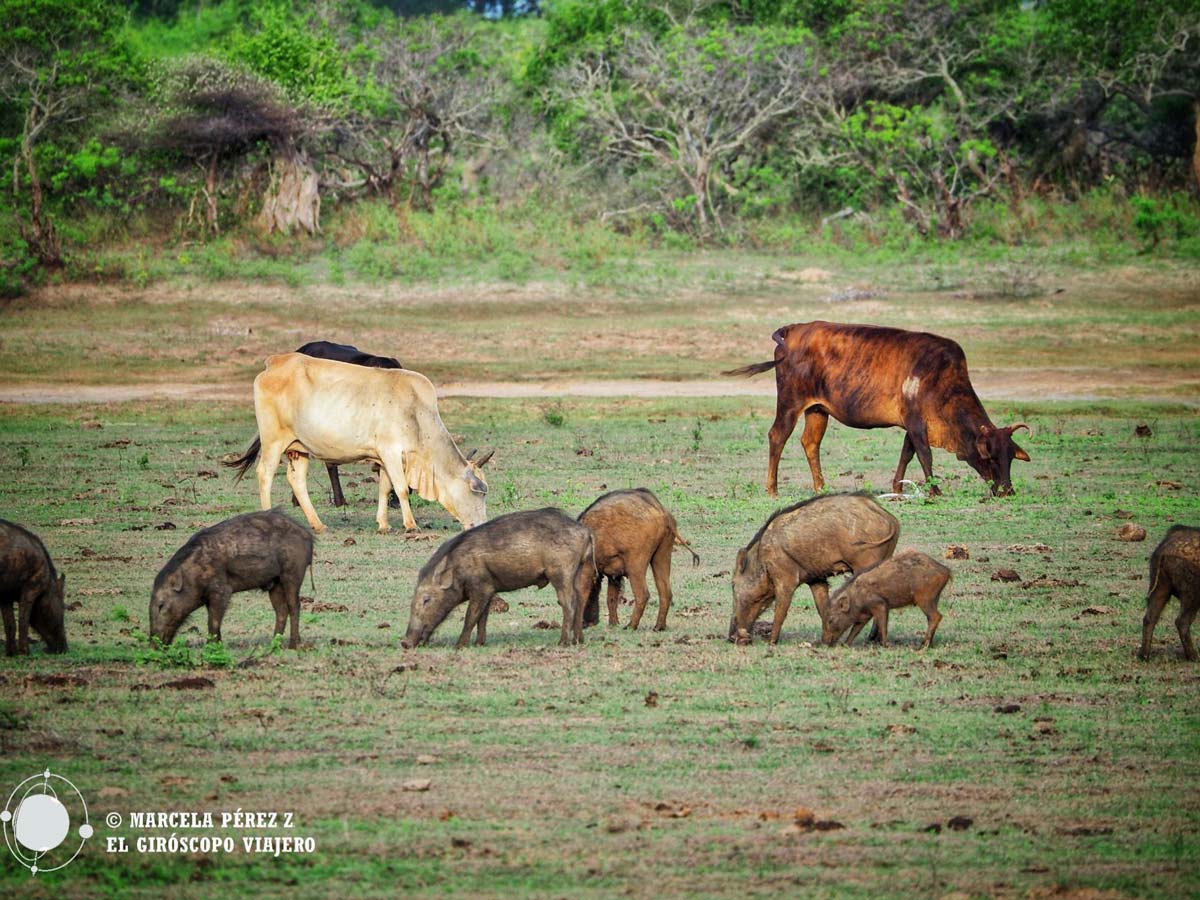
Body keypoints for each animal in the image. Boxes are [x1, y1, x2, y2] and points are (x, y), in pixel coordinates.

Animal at [720, 321, 1032, 496]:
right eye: (992, 457)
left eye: (1010, 458)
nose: (1007, 490)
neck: (944, 380)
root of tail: (792, 331)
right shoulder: (917, 423)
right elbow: (925, 455)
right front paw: (934, 490)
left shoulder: (911, 426)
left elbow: (907, 453)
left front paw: (898, 486)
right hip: (790, 402)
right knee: (777, 436)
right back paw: (773, 489)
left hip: (817, 409)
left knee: (810, 443)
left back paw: (821, 487)